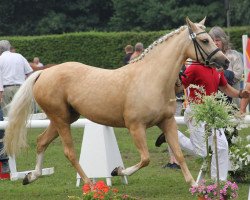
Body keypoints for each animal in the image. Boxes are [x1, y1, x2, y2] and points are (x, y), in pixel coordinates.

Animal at [2, 17, 229, 188]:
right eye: (205, 40)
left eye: (211, 38)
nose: (225, 61)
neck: (152, 79)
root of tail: (44, 73)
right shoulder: (135, 127)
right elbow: (145, 158)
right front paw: (117, 170)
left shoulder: (167, 122)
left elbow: (180, 155)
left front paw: (194, 185)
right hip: (60, 120)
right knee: (69, 152)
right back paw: (89, 184)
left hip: (65, 118)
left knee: (41, 141)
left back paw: (31, 176)